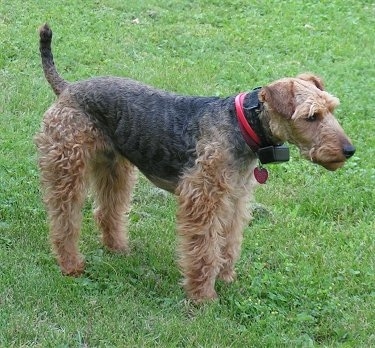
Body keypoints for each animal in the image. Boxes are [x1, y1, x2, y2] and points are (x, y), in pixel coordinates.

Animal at [35, 23, 356, 302]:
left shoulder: (235, 198)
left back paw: (118, 249)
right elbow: (205, 249)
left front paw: (226, 277)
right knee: (64, 220)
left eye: (331, 109)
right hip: (67, 165)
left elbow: (229, 242)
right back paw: (71, 265)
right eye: (311, 116)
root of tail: (67, 88)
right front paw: (203, 296)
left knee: (107, 212)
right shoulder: (203, 199)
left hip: (115, 167)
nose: (349, 150)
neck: (242, 124)